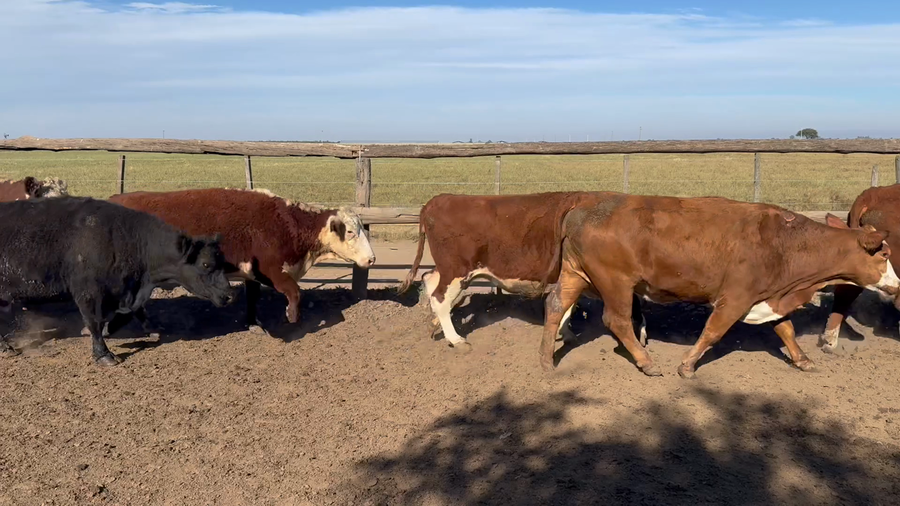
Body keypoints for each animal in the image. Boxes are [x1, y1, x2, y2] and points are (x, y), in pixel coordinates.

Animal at [0, 197, 235, 365]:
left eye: (222, 261)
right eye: (206, 264)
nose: (230, 295)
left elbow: (133, 313)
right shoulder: (88, 293)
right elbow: (94, 322)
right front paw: (104, 354)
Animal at [108, 188, 376, 330]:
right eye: (350, 232)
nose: (372, 259)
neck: (285, 223)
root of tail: (114, 199)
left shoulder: (252, 273)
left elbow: (253, 298)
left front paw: (253, 322)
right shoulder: (272, 271)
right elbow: (294, 292)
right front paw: (291, 316)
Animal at [398, 192, 646, 350]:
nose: (644, 338)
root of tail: (439, 200)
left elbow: (567, 306)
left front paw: (565, 333)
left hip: (450, 269)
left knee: (430, 280)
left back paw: (435, 325)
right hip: (456, 270)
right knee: (439, 298)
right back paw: (457, 340)